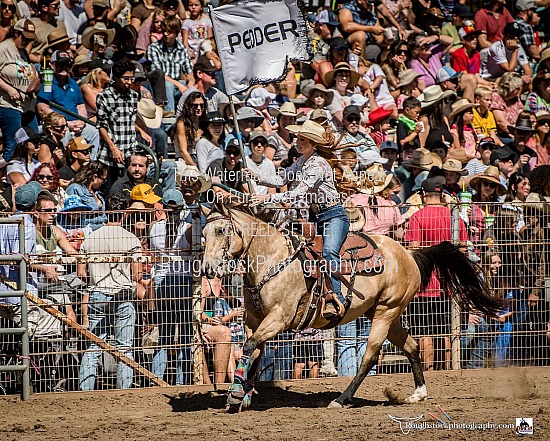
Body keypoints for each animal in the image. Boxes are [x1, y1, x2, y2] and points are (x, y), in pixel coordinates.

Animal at [201, 203, 502, 412]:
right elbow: (253, 352)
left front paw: (235, 395)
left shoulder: (279, 318)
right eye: (203, 233)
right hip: (387, 315)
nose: (206, 269)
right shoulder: (254, 320)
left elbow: (250, 347)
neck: (273, 259)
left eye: (221, 230)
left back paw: (342, 398)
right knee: (412, 346)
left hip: (385, 313)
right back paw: (418, 393)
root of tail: (409, 254)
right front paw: (242, 394)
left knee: (368, 357)